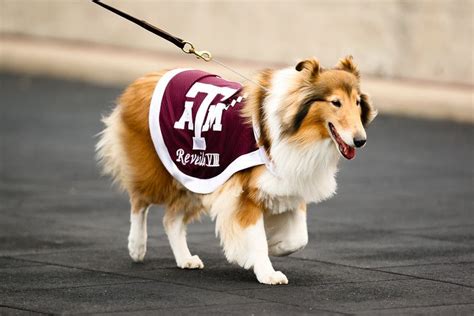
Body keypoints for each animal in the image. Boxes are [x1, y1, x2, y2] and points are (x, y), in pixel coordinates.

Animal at [97, 55, 378, 286]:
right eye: (335, 102)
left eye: (357, 102)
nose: (361, 141)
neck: (295, 131)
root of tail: (143, 80)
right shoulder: (244, 195)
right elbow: (257, 239)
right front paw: (266, 271)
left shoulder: (290, 184)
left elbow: (299, 238)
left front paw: (275, 245)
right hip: (158, 172)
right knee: (139, 202)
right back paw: (136, 247)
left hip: (198, 174)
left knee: (171, 219)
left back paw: (185, 259)